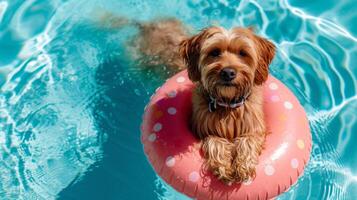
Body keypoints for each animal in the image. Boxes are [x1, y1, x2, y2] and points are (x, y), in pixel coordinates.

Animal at [178, 27, 276, 184]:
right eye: (214, 52)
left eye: (242, 53)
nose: (228, 72)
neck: (228, 105)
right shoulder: (203, 128)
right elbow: (213, 140)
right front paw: (223, 167)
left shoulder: (256, 128)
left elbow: (248, 139)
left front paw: (243, 165)